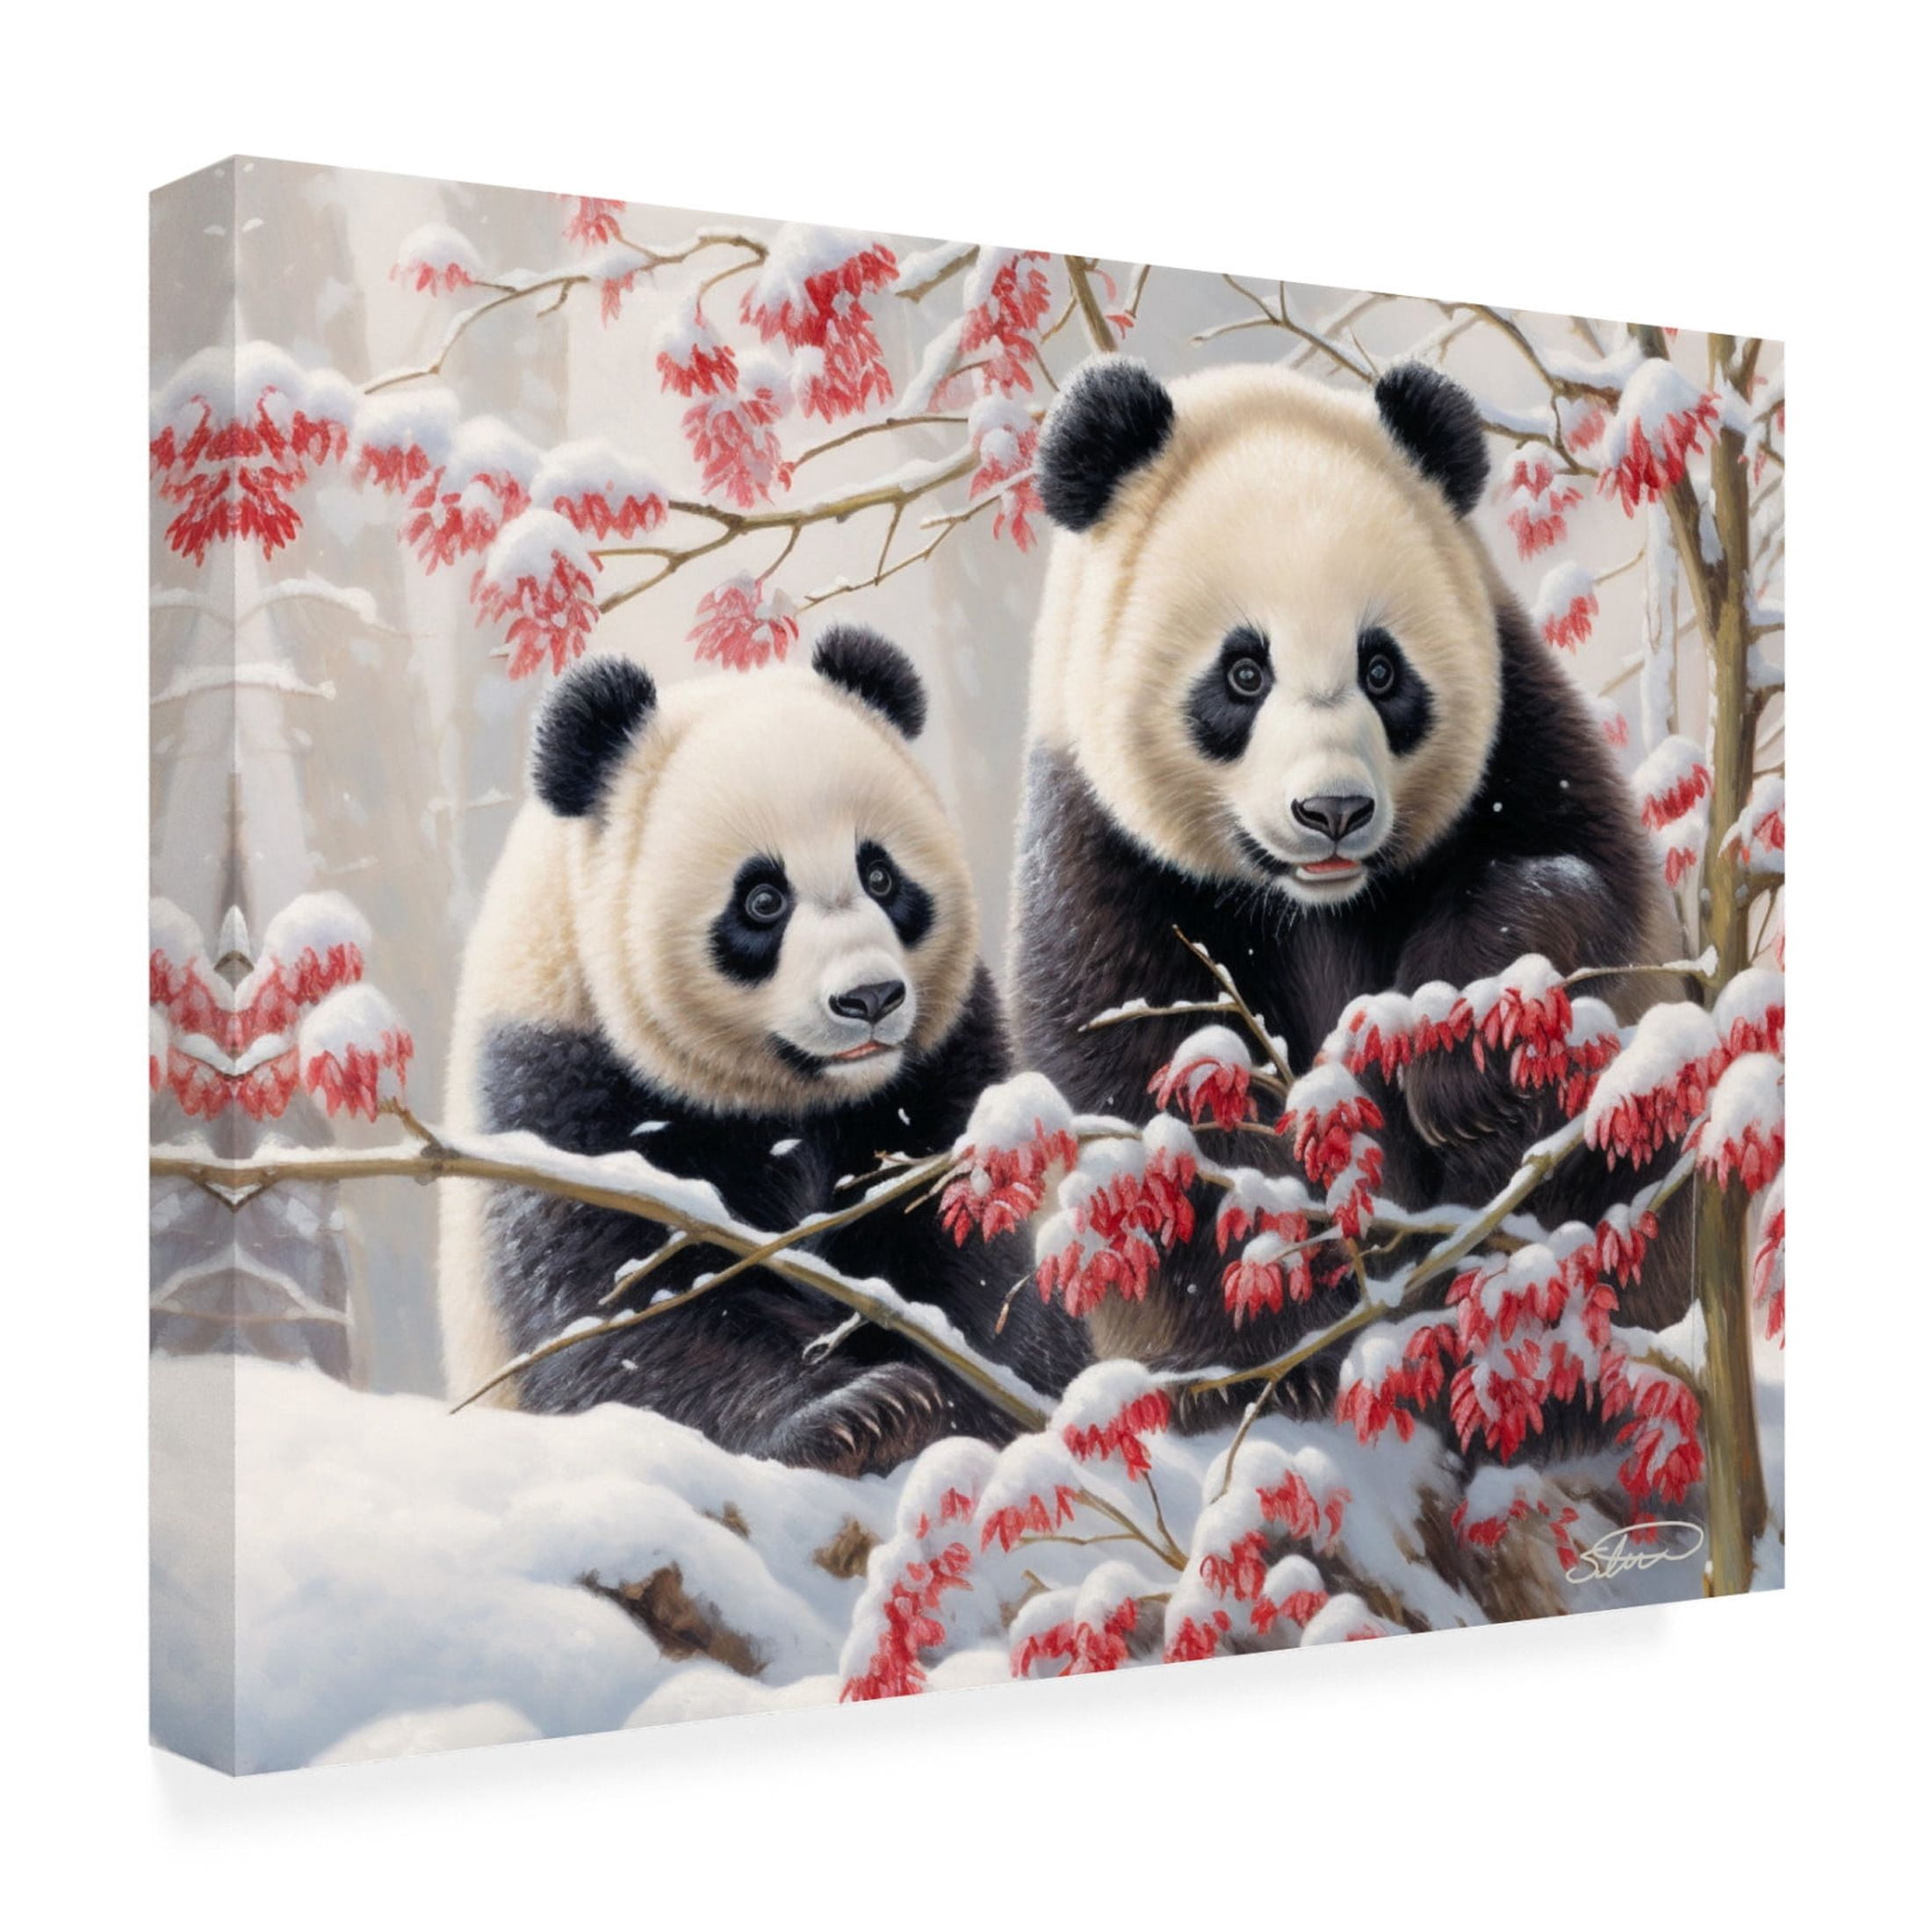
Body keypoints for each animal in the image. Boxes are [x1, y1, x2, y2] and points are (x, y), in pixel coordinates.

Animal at [439, 628, 1088, 1475]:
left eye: (881, 876)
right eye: (762, 900)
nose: (871, 998)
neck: (787, 1097)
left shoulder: (941, 1067)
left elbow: (963, 1244)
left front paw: (962, 1393)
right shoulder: (561, 1091)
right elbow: (626, 1307)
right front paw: (859, 1414)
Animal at [1010, 355, 1690, 1426]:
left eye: (1382, 669)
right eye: (1243, 673)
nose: (1332, 809)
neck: (1312, 903)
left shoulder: (1526, 735)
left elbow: (1582, 893)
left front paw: (1456, 1070)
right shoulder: (1096, 846)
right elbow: (1142, 1093)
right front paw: (1278, 1335)